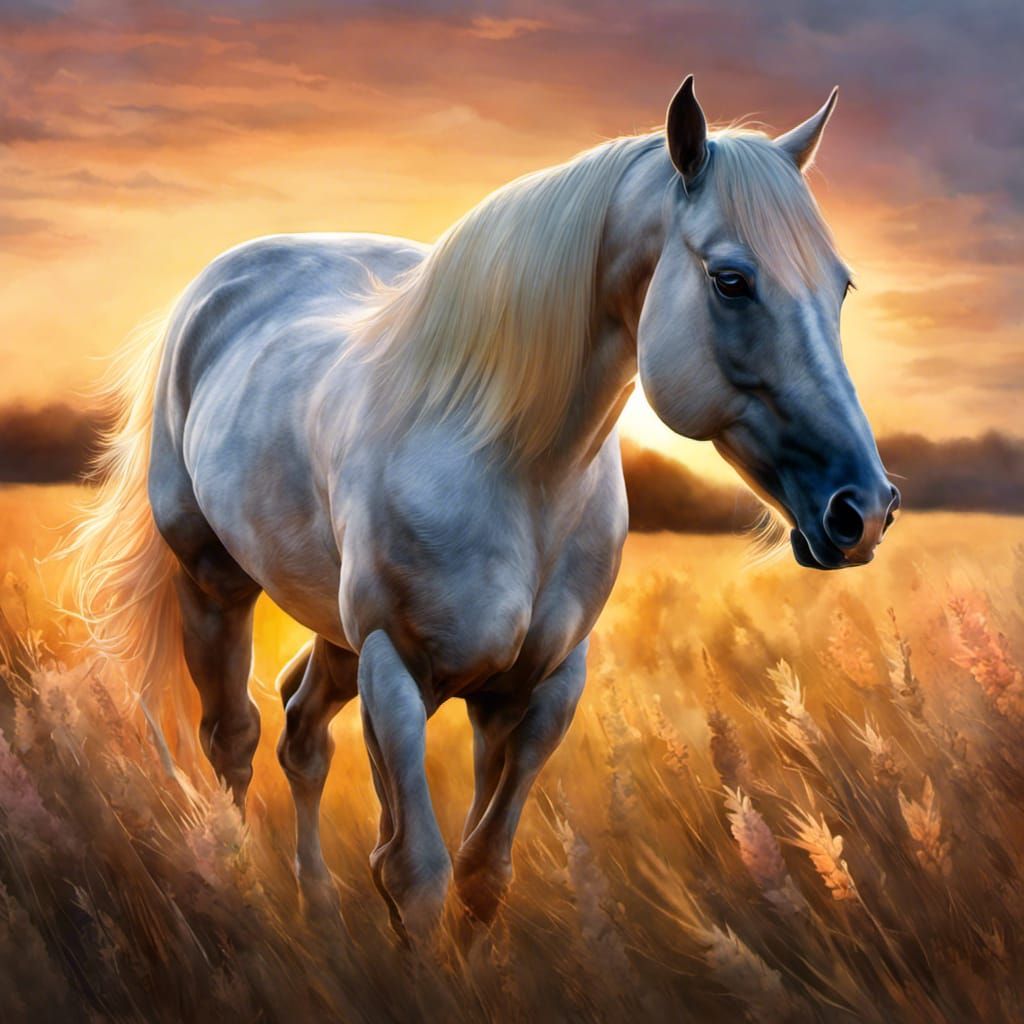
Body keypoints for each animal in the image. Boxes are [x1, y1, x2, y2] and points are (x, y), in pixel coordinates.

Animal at [69, 75, 899, 941]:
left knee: (301, 732)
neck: (513, 471)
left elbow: (482, 873)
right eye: (731, 281)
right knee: (233, 738)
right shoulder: (396, 669)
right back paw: (247, 903)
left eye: (839, 285)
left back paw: (318, 908)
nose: (864, 510)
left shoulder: (539, 689)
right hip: (216, 583)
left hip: (336, 633)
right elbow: (415, 875)